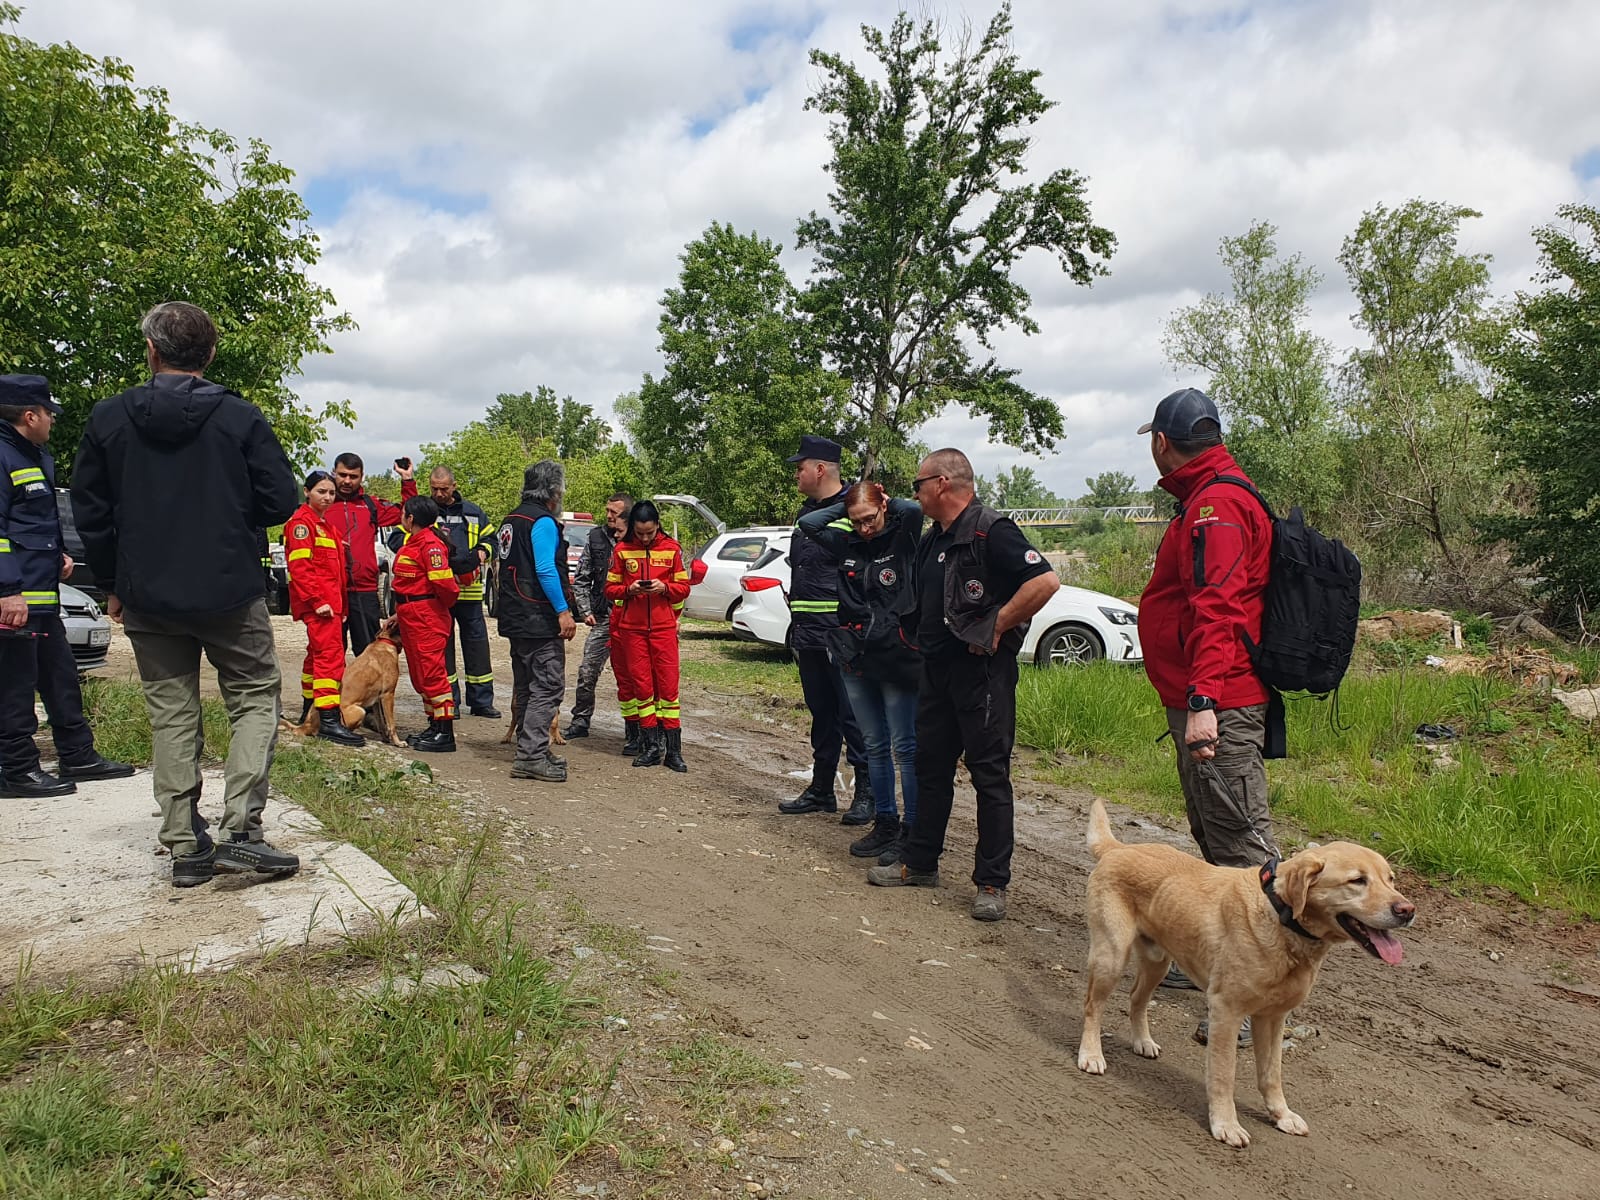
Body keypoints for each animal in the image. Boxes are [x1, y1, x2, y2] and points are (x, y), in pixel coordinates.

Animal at [1075, 800, 1414, 1145]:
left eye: (1390, 879)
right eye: (1357, 880)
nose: (1407, 910)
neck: (1281, 918)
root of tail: (1119, 848)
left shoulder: (1273, 1018)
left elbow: (1271, 1075)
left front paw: (1281, 1115)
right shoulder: (1226, 1011)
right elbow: (1224, 1075)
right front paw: (1225, 1124)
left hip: (1158, 962)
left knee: (1136, 999)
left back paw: (1142, 1041)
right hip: (1111, 957)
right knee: (1093, 1006)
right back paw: (1091, 1054)